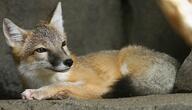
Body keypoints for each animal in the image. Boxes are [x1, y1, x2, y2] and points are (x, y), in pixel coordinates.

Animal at [2, 1, 178, 99]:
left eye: (63, 44)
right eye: (41, 50)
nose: (69, 62)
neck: (44, 79)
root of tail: (174, 62)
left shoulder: (98, 84)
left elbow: (60, 84)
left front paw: (38, 92)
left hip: (126, 57)